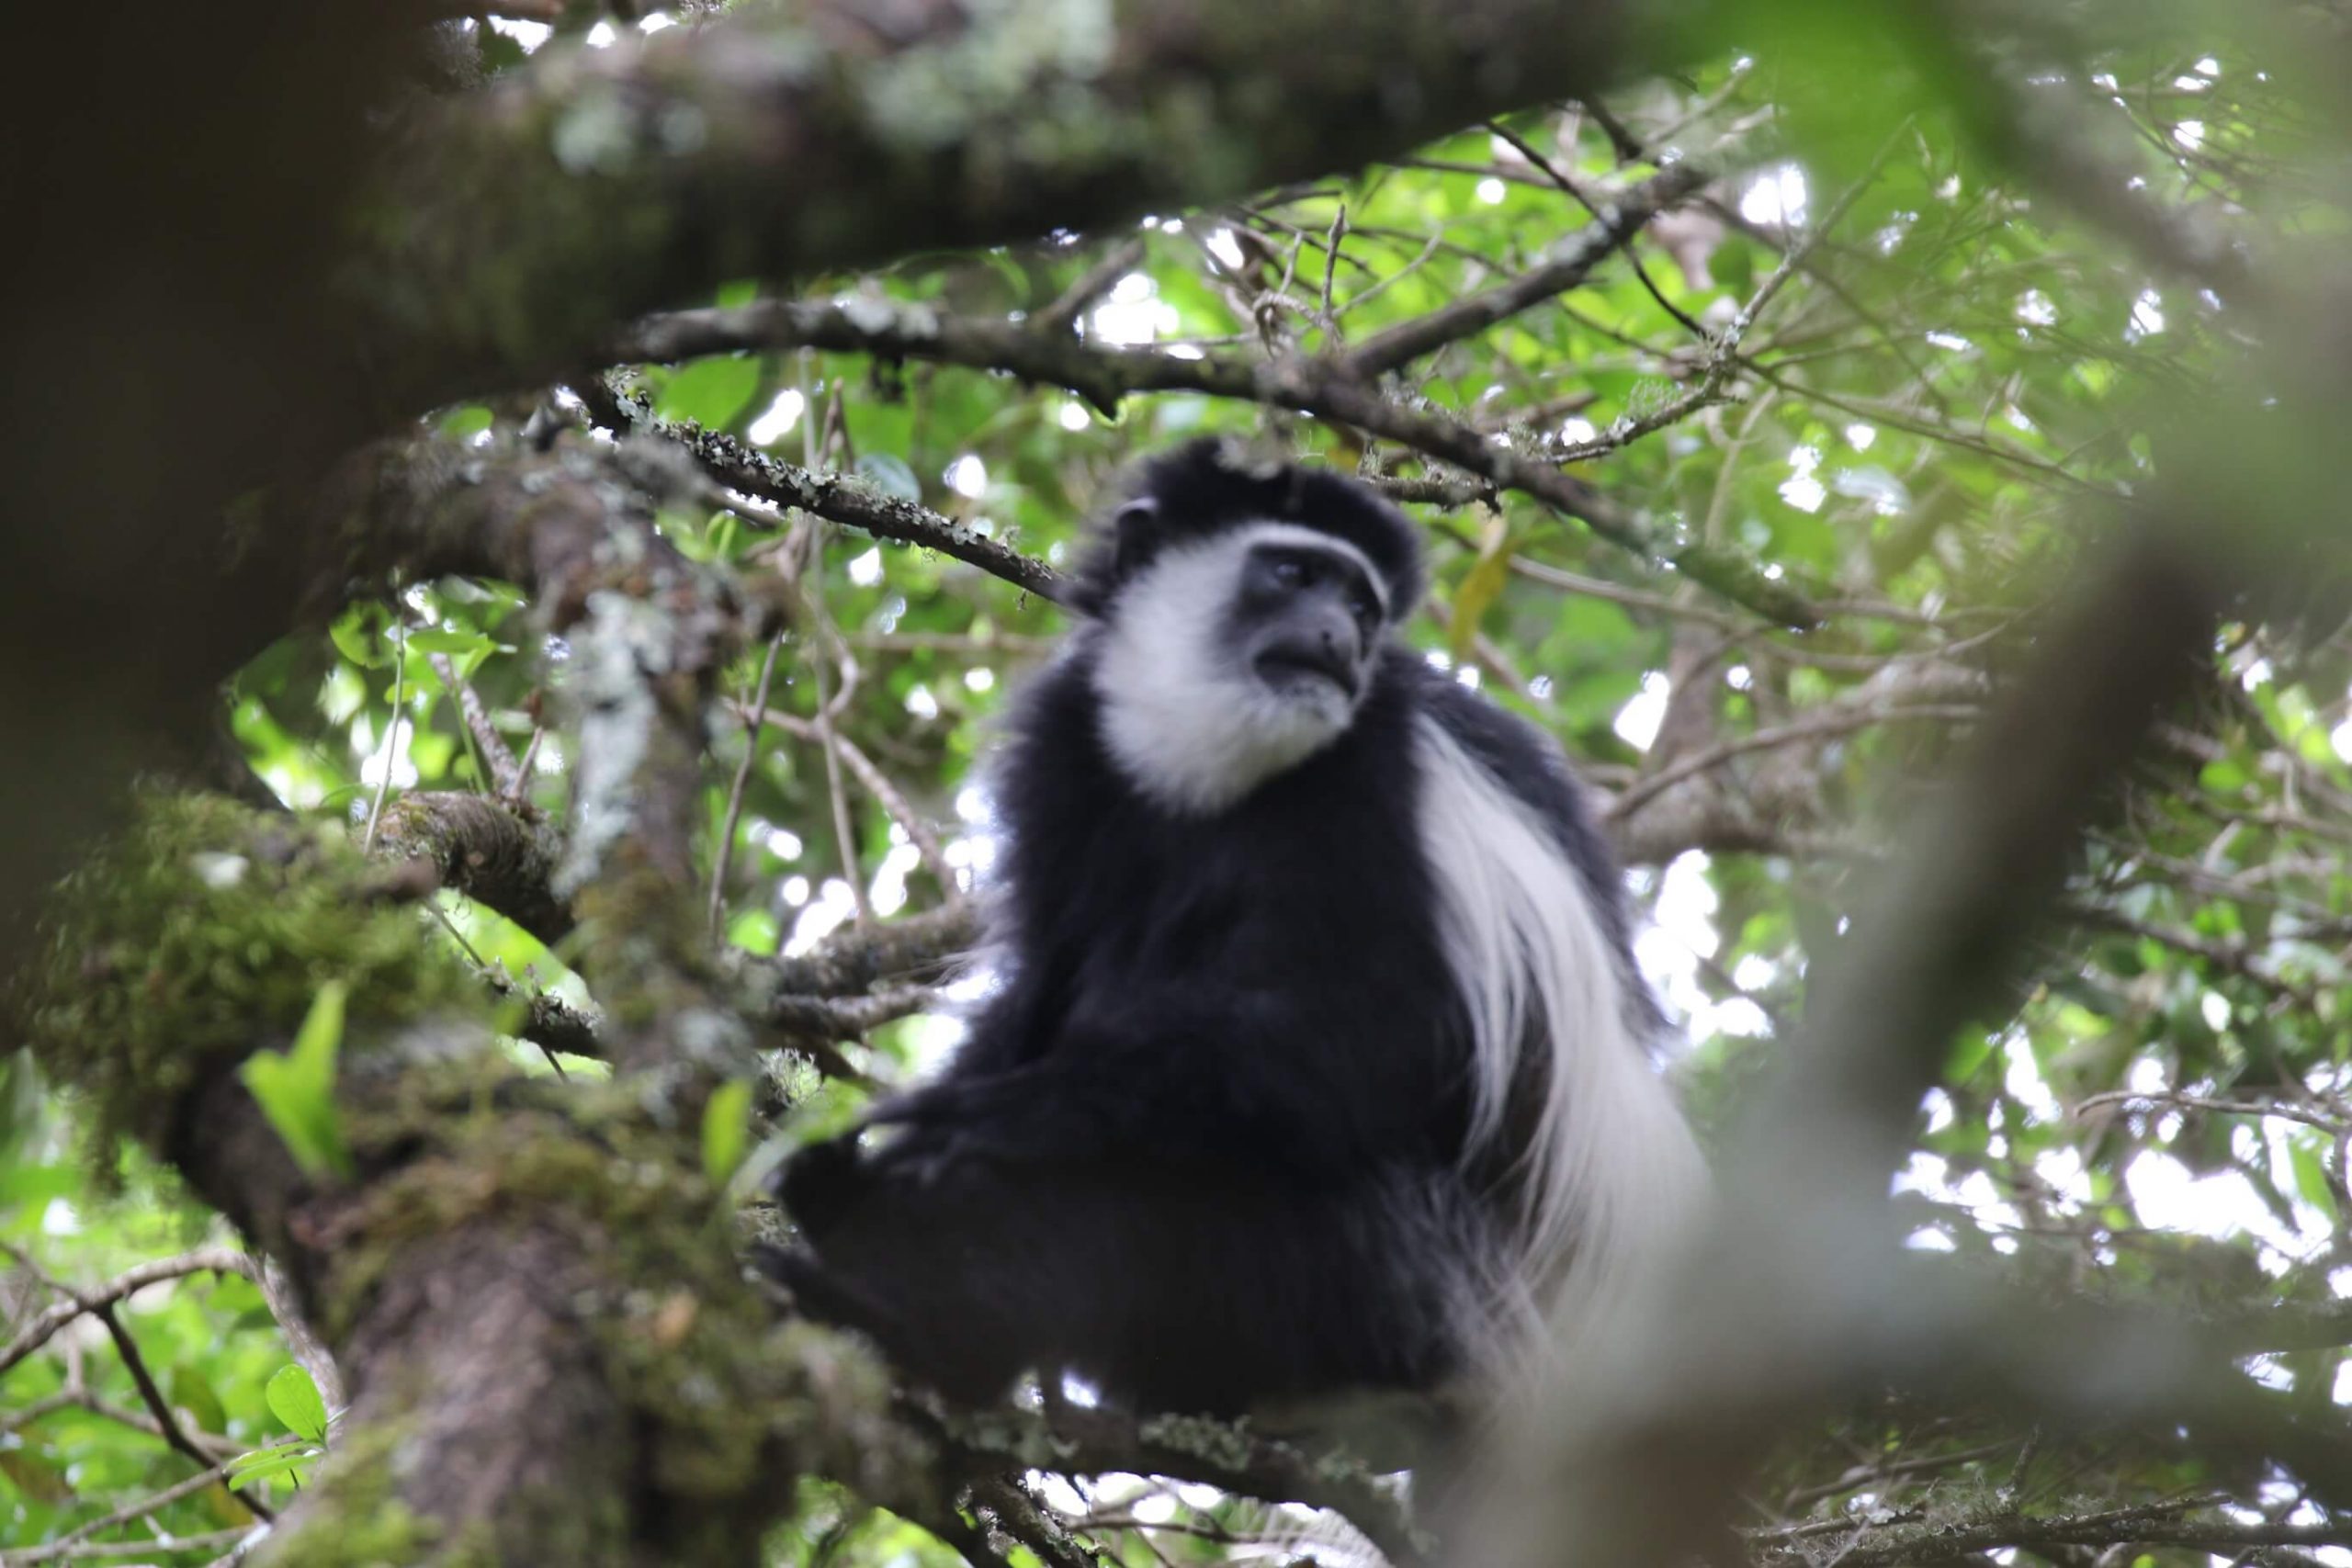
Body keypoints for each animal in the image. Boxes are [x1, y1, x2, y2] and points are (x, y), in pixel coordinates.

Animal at [771, 442, 1712, 1438]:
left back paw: (920, 1323)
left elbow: (1394, 1031)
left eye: (1363, 608)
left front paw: (998, 1115)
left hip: (1388, 1283)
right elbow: (1040, 983)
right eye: (1295, 575)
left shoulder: (1376, 781)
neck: (1211, 755)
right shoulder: (1070, 745)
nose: (1339, 638)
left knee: (1125, 1190)